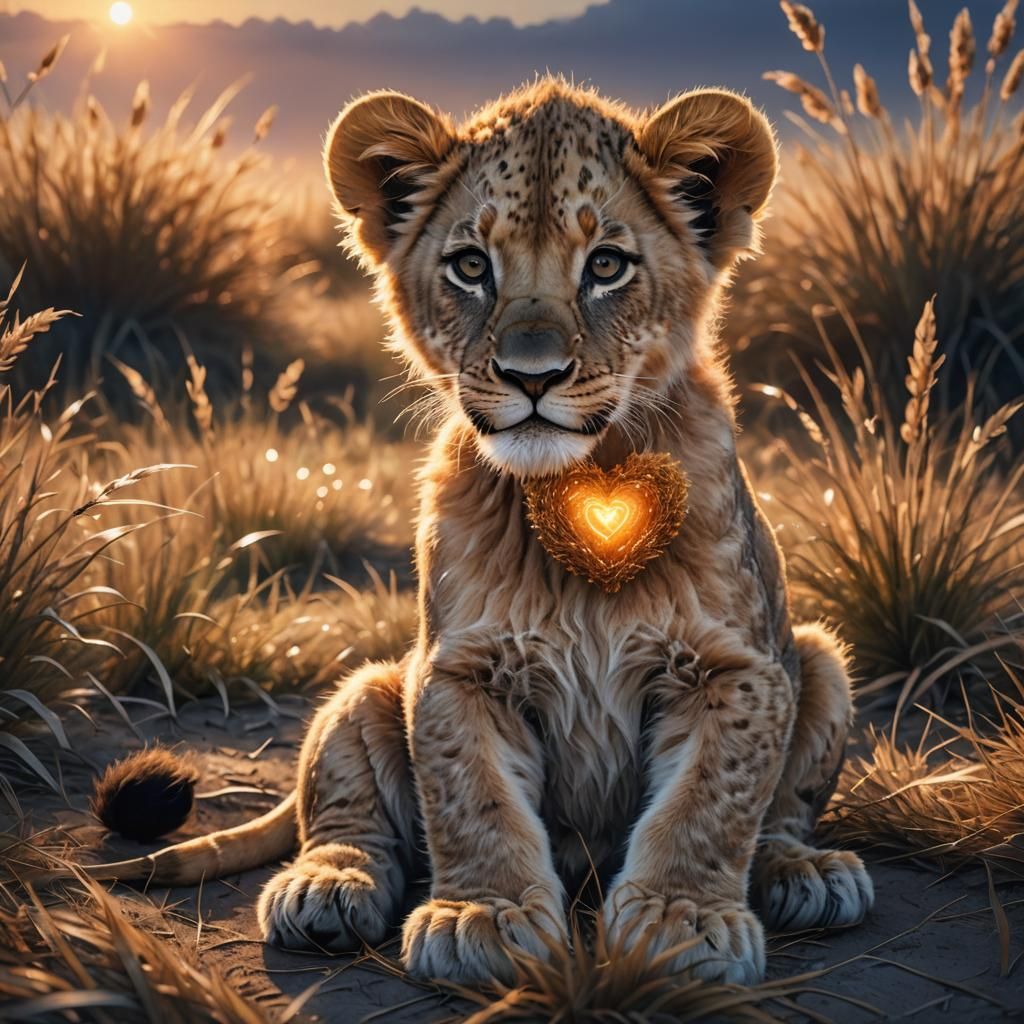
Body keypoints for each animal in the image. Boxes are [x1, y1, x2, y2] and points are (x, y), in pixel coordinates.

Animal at [75, 77, 873, 985]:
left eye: (606, 265)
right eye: (470, 266)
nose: (533, 376)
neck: (571, 489)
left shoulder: (736, 668)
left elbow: (711, 803)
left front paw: (682, 920)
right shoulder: (456, 670)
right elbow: (471, 798)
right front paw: (482, 917)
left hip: (819, 659)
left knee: (785, 809)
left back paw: (806, 872)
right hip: (369, 685)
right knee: (342, 807)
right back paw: (328, 885)